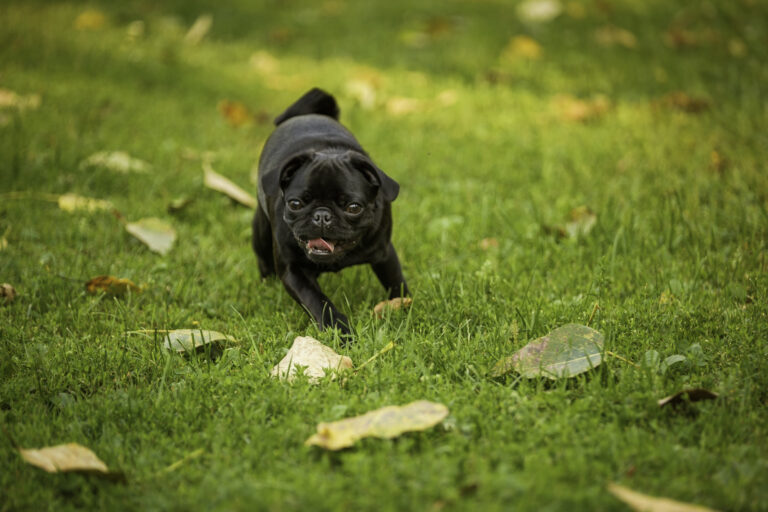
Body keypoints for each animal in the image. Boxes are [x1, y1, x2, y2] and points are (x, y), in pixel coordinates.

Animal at [252, 88, 408, 336]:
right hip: (261, 233)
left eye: (353, 207)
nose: (322, 216)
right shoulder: (292, 270)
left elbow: (396, 282)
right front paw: (340, 331)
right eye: (295, 204)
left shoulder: (384, 253)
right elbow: (316, 300)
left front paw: (406, 307)